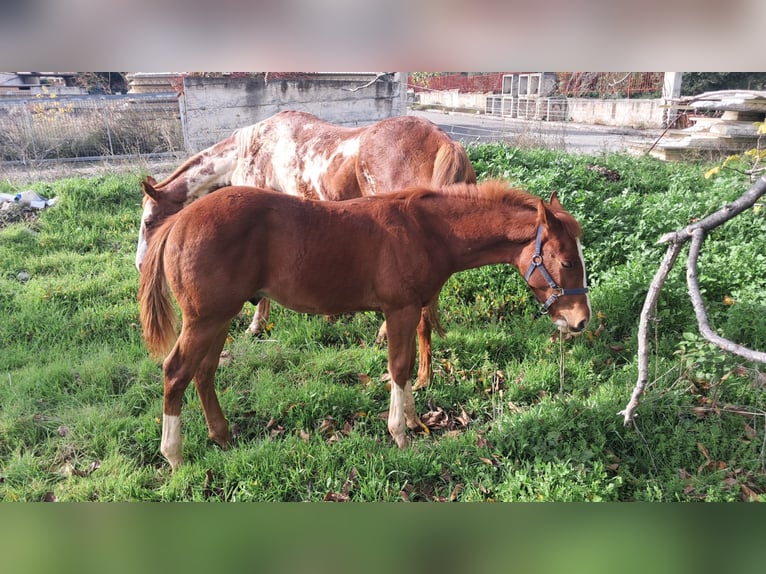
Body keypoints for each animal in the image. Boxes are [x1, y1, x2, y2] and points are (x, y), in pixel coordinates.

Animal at [136, 110, 476, 390]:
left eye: (149, 221)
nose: (140, 264)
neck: (253, 149)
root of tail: (445, 142)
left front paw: (256, 326)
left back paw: (420, 377)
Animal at [138, 179, 590, 470]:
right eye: (568, 261)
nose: (580, 321)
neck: (427, 231)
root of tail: (178, 223)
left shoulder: (408, 310)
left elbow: (406, 369)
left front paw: (414, 422)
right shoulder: (399, 309)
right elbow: (399, 368)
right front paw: (400, 434)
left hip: (218, 318)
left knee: (204, 372)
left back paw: (223, 437)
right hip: (204, 319)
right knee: (176, 371)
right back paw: (174, 456)